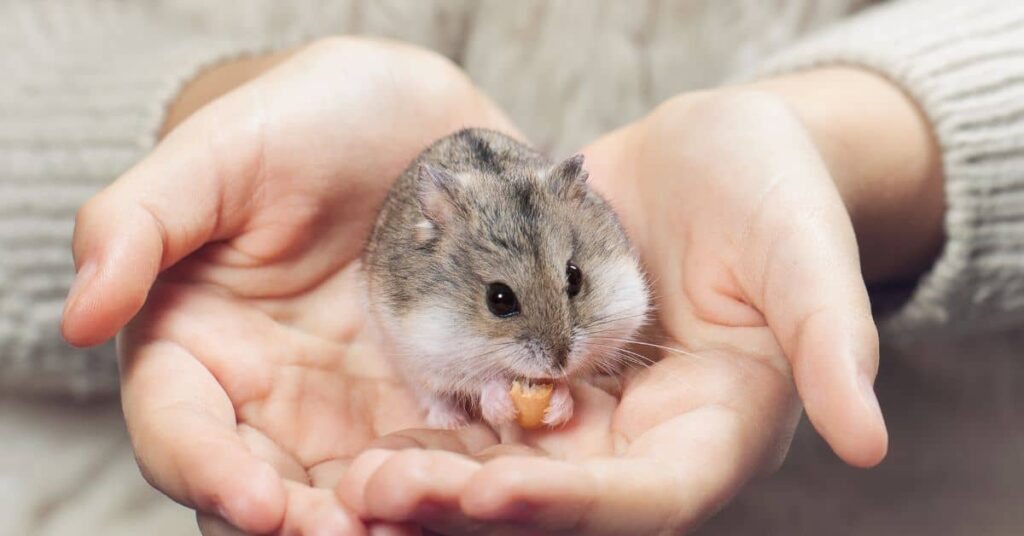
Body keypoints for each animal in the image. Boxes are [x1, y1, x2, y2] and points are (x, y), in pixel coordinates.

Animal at [364, 128, 649, 429]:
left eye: (575, 277)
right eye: (499, 299)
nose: (558, 365)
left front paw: (559, 405)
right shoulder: (428, 351)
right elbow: (478, 382)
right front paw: (499, 406)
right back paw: (451, 421)